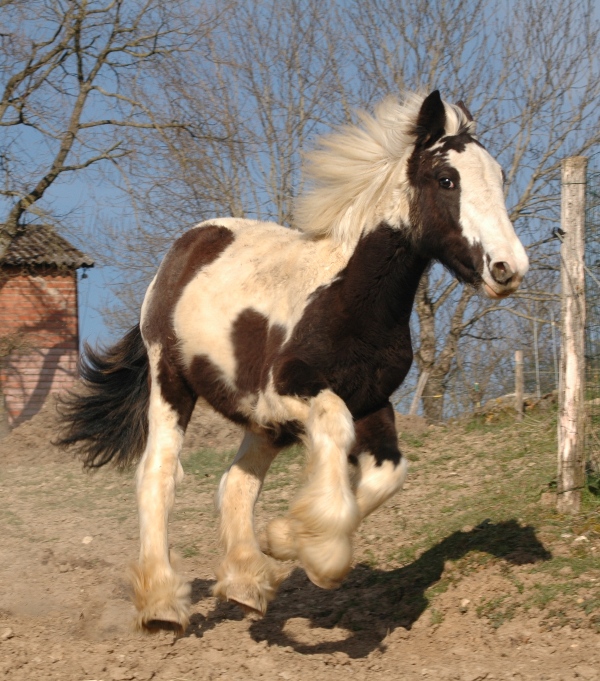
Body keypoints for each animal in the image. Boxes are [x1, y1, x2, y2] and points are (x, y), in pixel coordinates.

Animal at [58, 90, 528, 632]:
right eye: (447, 179)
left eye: (499, 176)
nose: (508, 267)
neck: (349, 300)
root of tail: (187, 246)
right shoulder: (286, 392)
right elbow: (335, 424)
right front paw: (317, 552)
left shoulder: (372, 402)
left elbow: (390, 471)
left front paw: (289, 540)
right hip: (172, 381)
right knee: (157, 475)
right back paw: (162, 605)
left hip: (264, 427)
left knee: (235, 483)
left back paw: (245, 584)